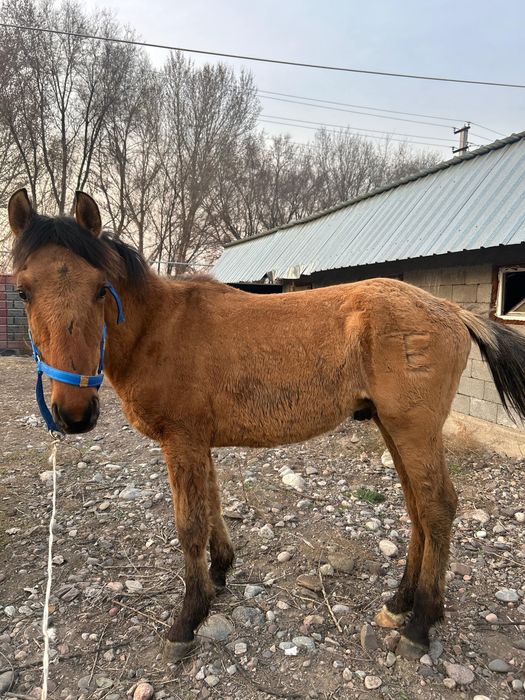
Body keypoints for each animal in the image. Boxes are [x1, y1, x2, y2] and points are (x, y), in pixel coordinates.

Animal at [8, 188, 525, 661]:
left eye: (100, 288)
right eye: (23, 291)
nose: (74, 413)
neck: (159, 327)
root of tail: (450, 310)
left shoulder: (182, 441)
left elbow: (190, 524)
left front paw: (187, 619)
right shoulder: (198, 444)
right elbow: (213, 506)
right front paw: (219, 573)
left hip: (414, 431)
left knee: (437, 508)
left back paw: (421, 624)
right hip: (394, 430)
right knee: (418, 509)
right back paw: (400, 603)